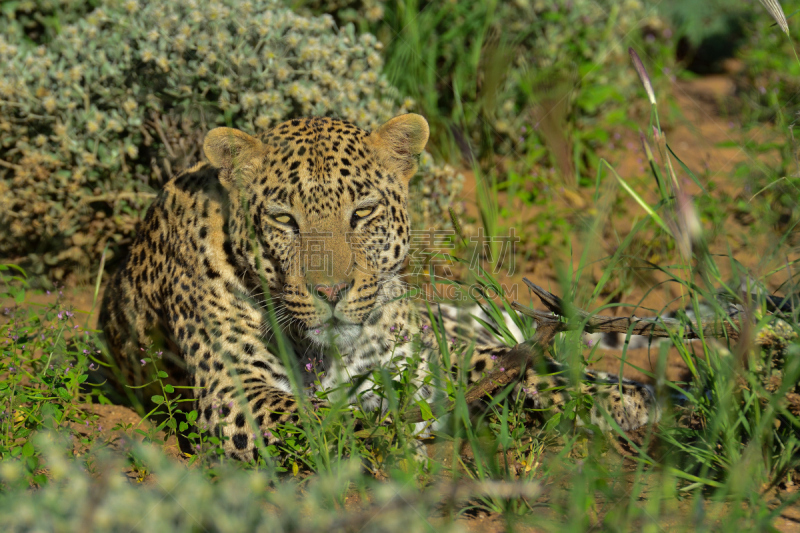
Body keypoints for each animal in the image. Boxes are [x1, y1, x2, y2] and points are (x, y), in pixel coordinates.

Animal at [100, 113, 660, 462]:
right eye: (284, 219)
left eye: (363, 212)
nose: (332, 292)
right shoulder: (232, 393)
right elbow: (317, 418)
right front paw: (391, 440)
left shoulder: (416, 361)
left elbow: (501, 362)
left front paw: (607, 398)